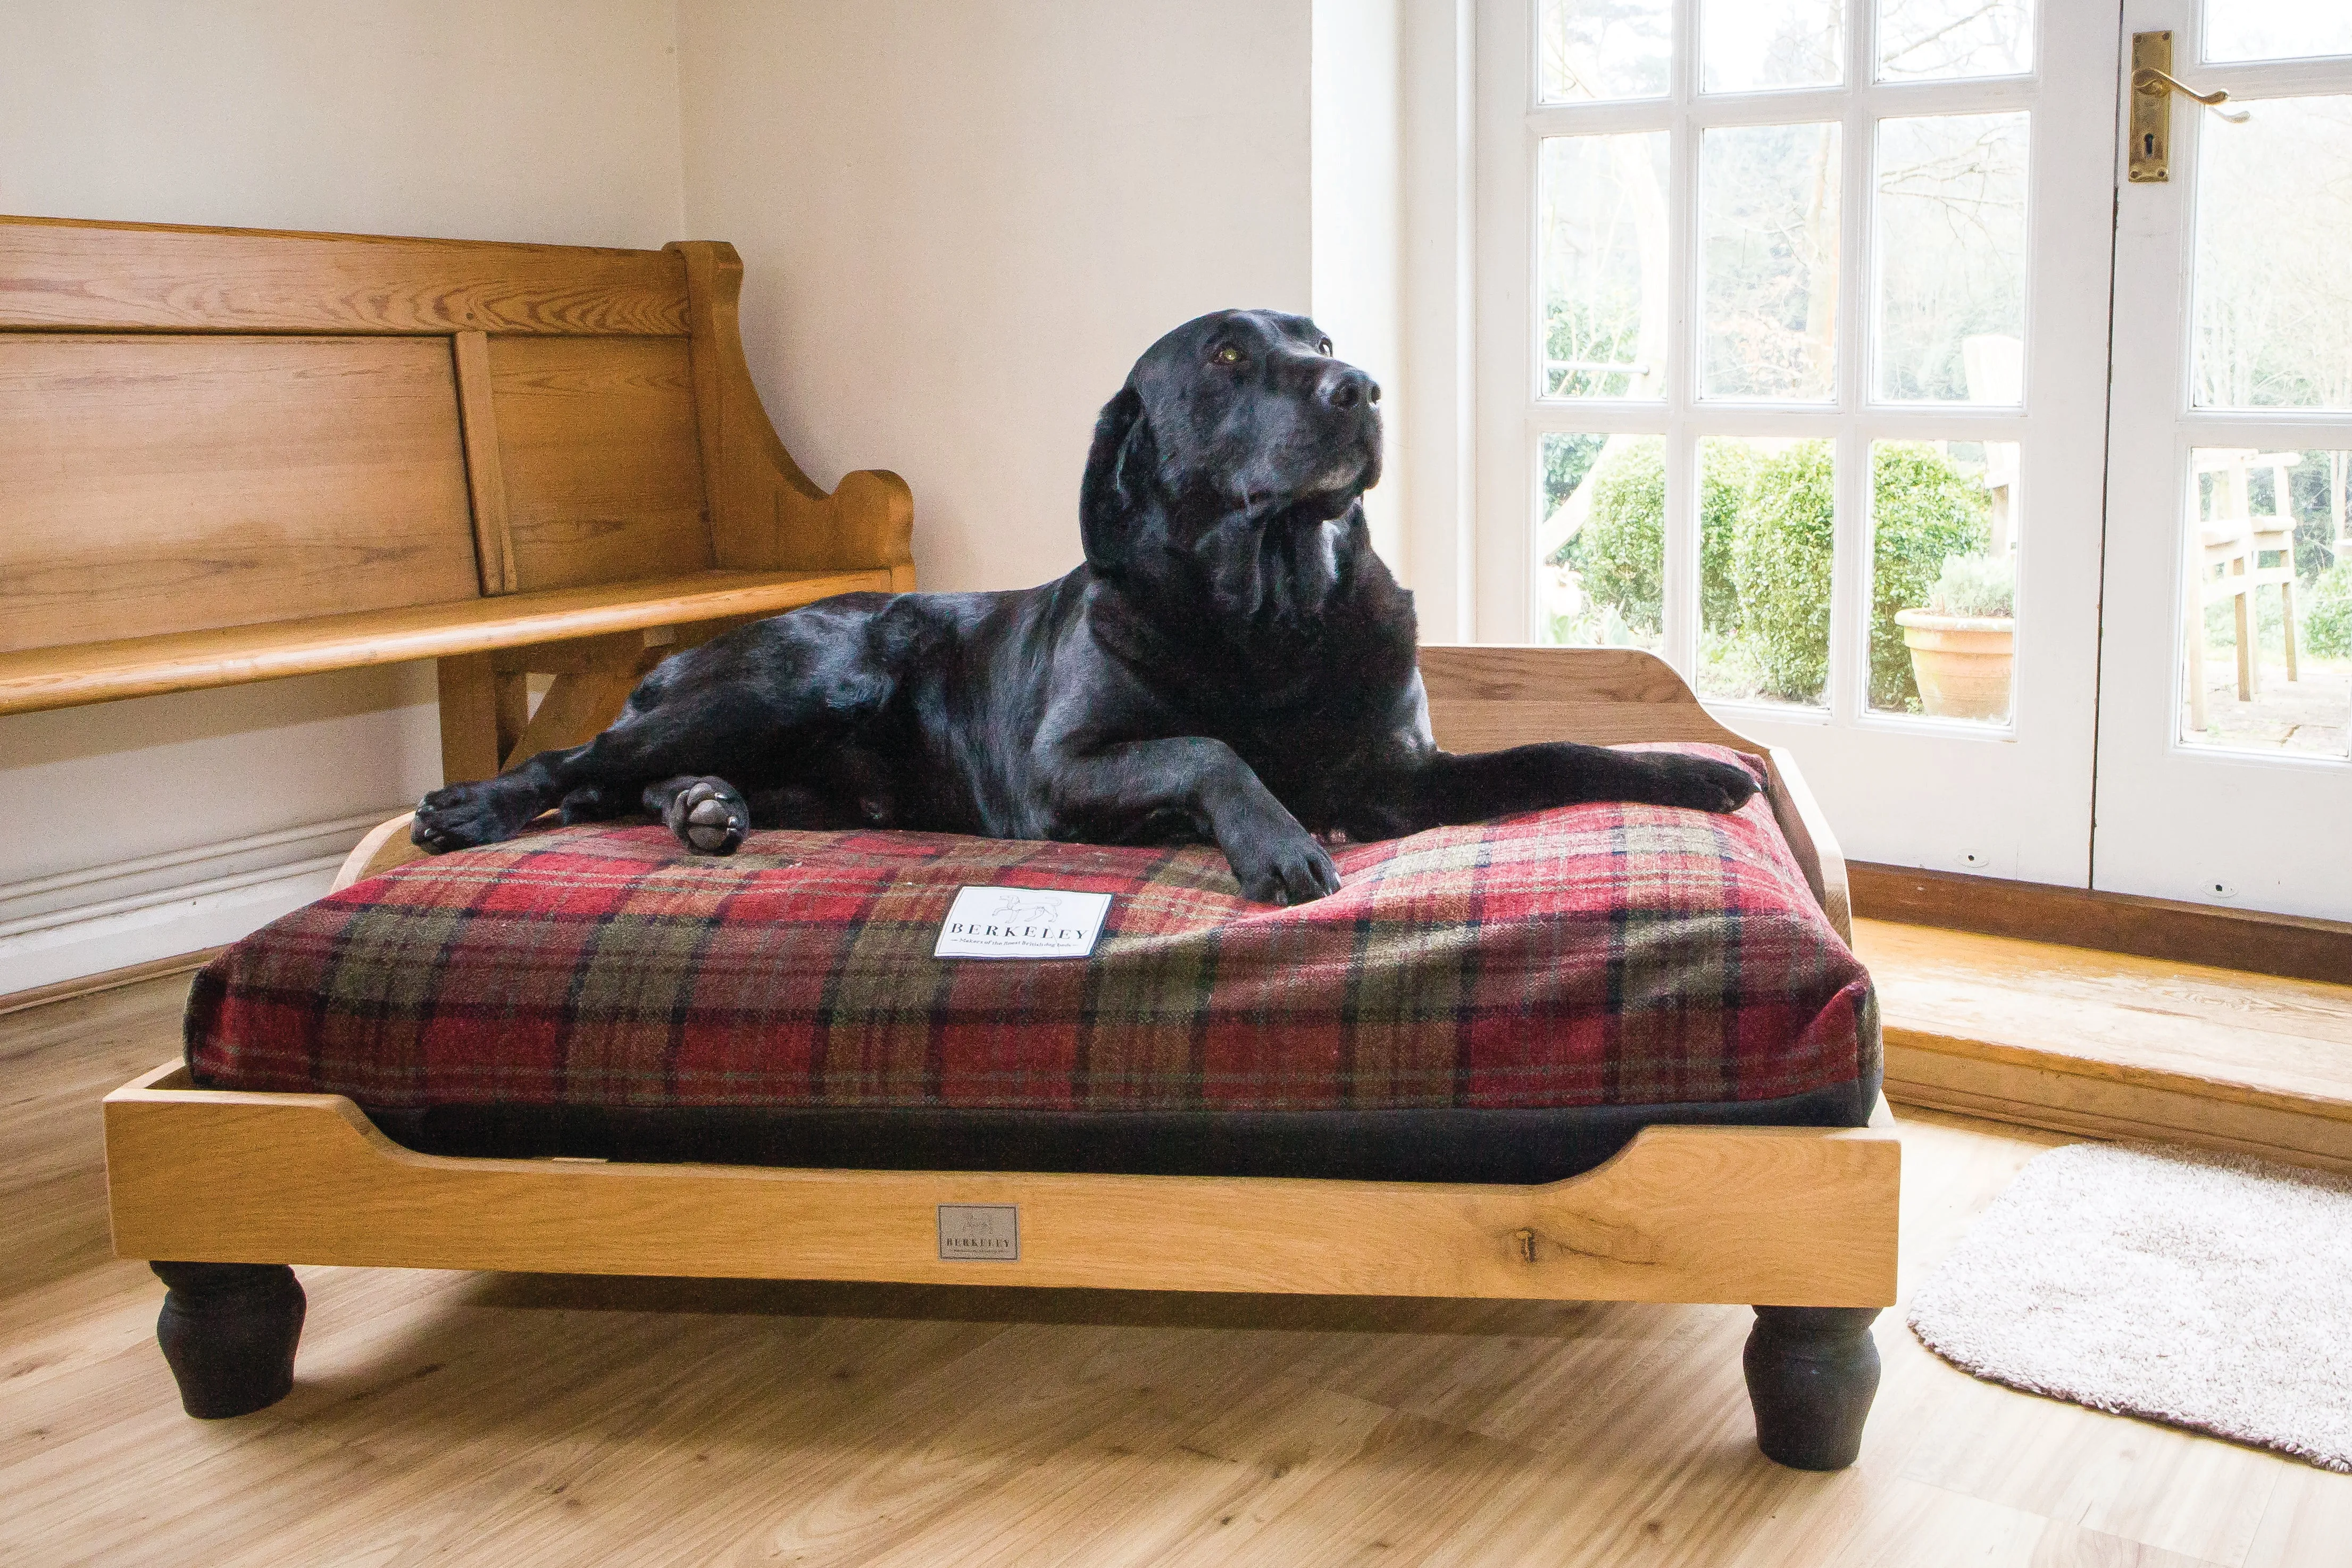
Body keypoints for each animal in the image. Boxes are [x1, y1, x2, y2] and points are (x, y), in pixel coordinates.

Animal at [414, 305, 1759, 903]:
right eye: (1229, 356)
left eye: (1321, 341)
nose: (1363, 386)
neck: (1271, 612)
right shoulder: (1065, 764)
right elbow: (1211, 748)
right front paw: (1274, 839)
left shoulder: (1402, 776)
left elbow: (1566, 748)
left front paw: (1699, 771)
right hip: (810, 668)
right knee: (577, 761)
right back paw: (475, 805)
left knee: (625, 781)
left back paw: (704, 808)